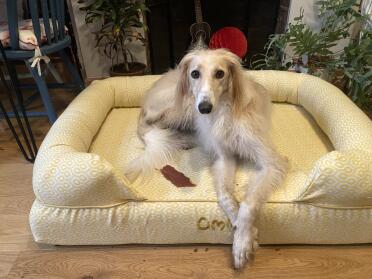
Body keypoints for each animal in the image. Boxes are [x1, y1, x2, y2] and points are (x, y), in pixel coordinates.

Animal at [125, 48, 288, 270]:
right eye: (195, 73)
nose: (204, 108)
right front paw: (246, 236)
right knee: (153, 126)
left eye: (220, 73)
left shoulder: (270, 163)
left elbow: (247, 204)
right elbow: (227, 198)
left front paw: (242, 239)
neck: (224, 111)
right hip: (182, 107)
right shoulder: (224, 156)